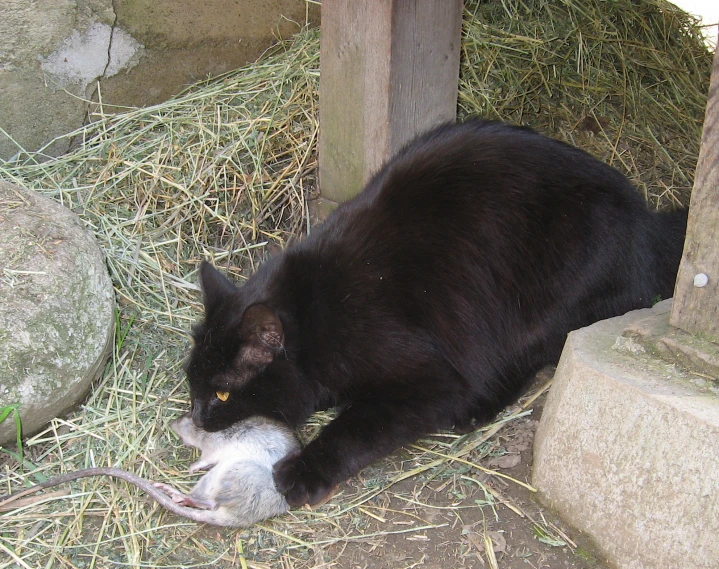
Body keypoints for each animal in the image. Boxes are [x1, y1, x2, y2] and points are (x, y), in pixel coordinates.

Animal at [184, 120, 688, 506]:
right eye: (192, 385)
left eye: (222, 394)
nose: (198, 417)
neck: (315, 312)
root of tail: (647, 223)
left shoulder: (428, 378)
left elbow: (356, 426)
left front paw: (305, 468)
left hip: (545, 298)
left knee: (532, 353)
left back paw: (478, 406)